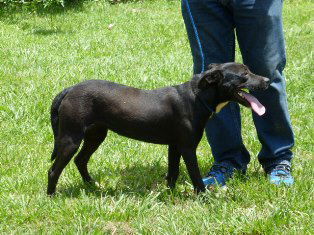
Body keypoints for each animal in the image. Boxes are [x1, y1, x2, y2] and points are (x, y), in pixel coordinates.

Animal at [47, 62, 268, 195]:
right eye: (244, 75)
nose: (267, 80)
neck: (198, 97)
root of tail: (69, 90)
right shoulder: (188, 148)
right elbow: (195, 175)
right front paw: (204, 197)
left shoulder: (174, 146)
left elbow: (173, 172)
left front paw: (170, 194)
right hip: (70, 138)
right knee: (53, 170)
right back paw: (51, 196)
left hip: (96, 135)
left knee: (80, 160)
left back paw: (92, 185)